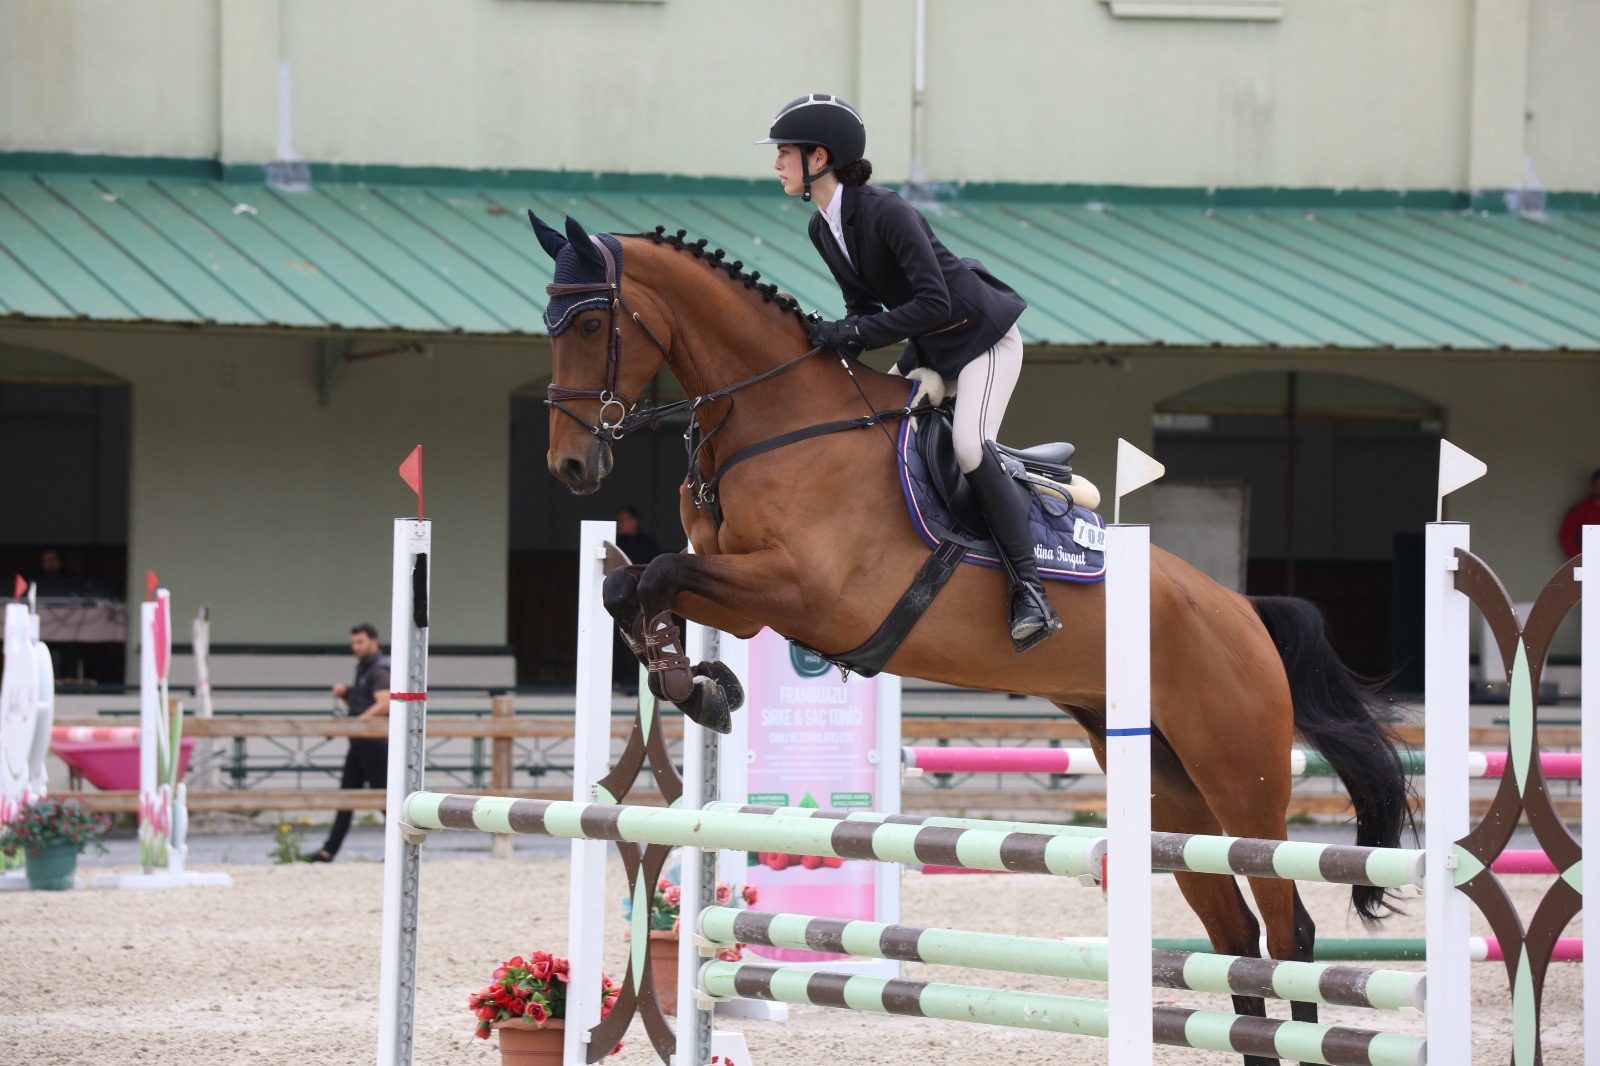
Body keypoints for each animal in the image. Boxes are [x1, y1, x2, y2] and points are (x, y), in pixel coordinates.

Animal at [531, 213, 1409, 1066]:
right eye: (548, 323)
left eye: (593, 322)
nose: (571, 465)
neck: (778, 422)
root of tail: (1243, 609)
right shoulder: (745, 596)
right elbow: (632, 586)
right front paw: (696, 683)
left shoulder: (801, 591)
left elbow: (657, 572)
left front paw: (696, 684)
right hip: (1169, 783)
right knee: (1233, 936)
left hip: (1239, 775)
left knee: (1287, 927)